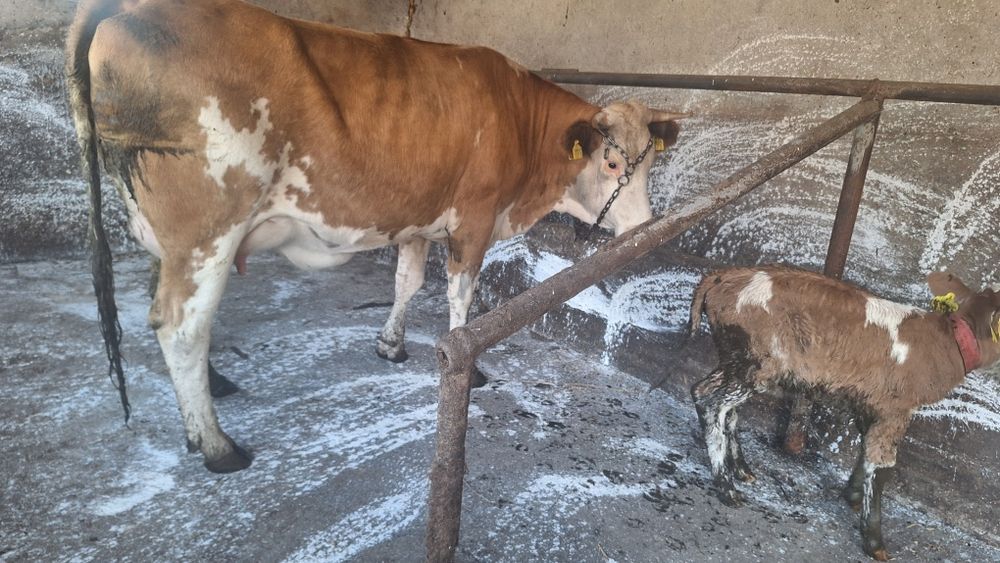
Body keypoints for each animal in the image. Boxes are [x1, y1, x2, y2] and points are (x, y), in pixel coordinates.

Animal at [67, 0, 685, 473]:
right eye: (611, 163)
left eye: (651, 161)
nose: (644, 226)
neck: (521, 124)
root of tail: (126, 8)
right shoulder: (475, 219)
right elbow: (462, 297)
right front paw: (468, 367)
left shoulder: (418, 217)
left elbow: (407, 281)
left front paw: (391, 344)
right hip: (208, 224)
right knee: (181, 324)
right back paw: (217, 445)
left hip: (163, 230)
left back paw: (213, 386)